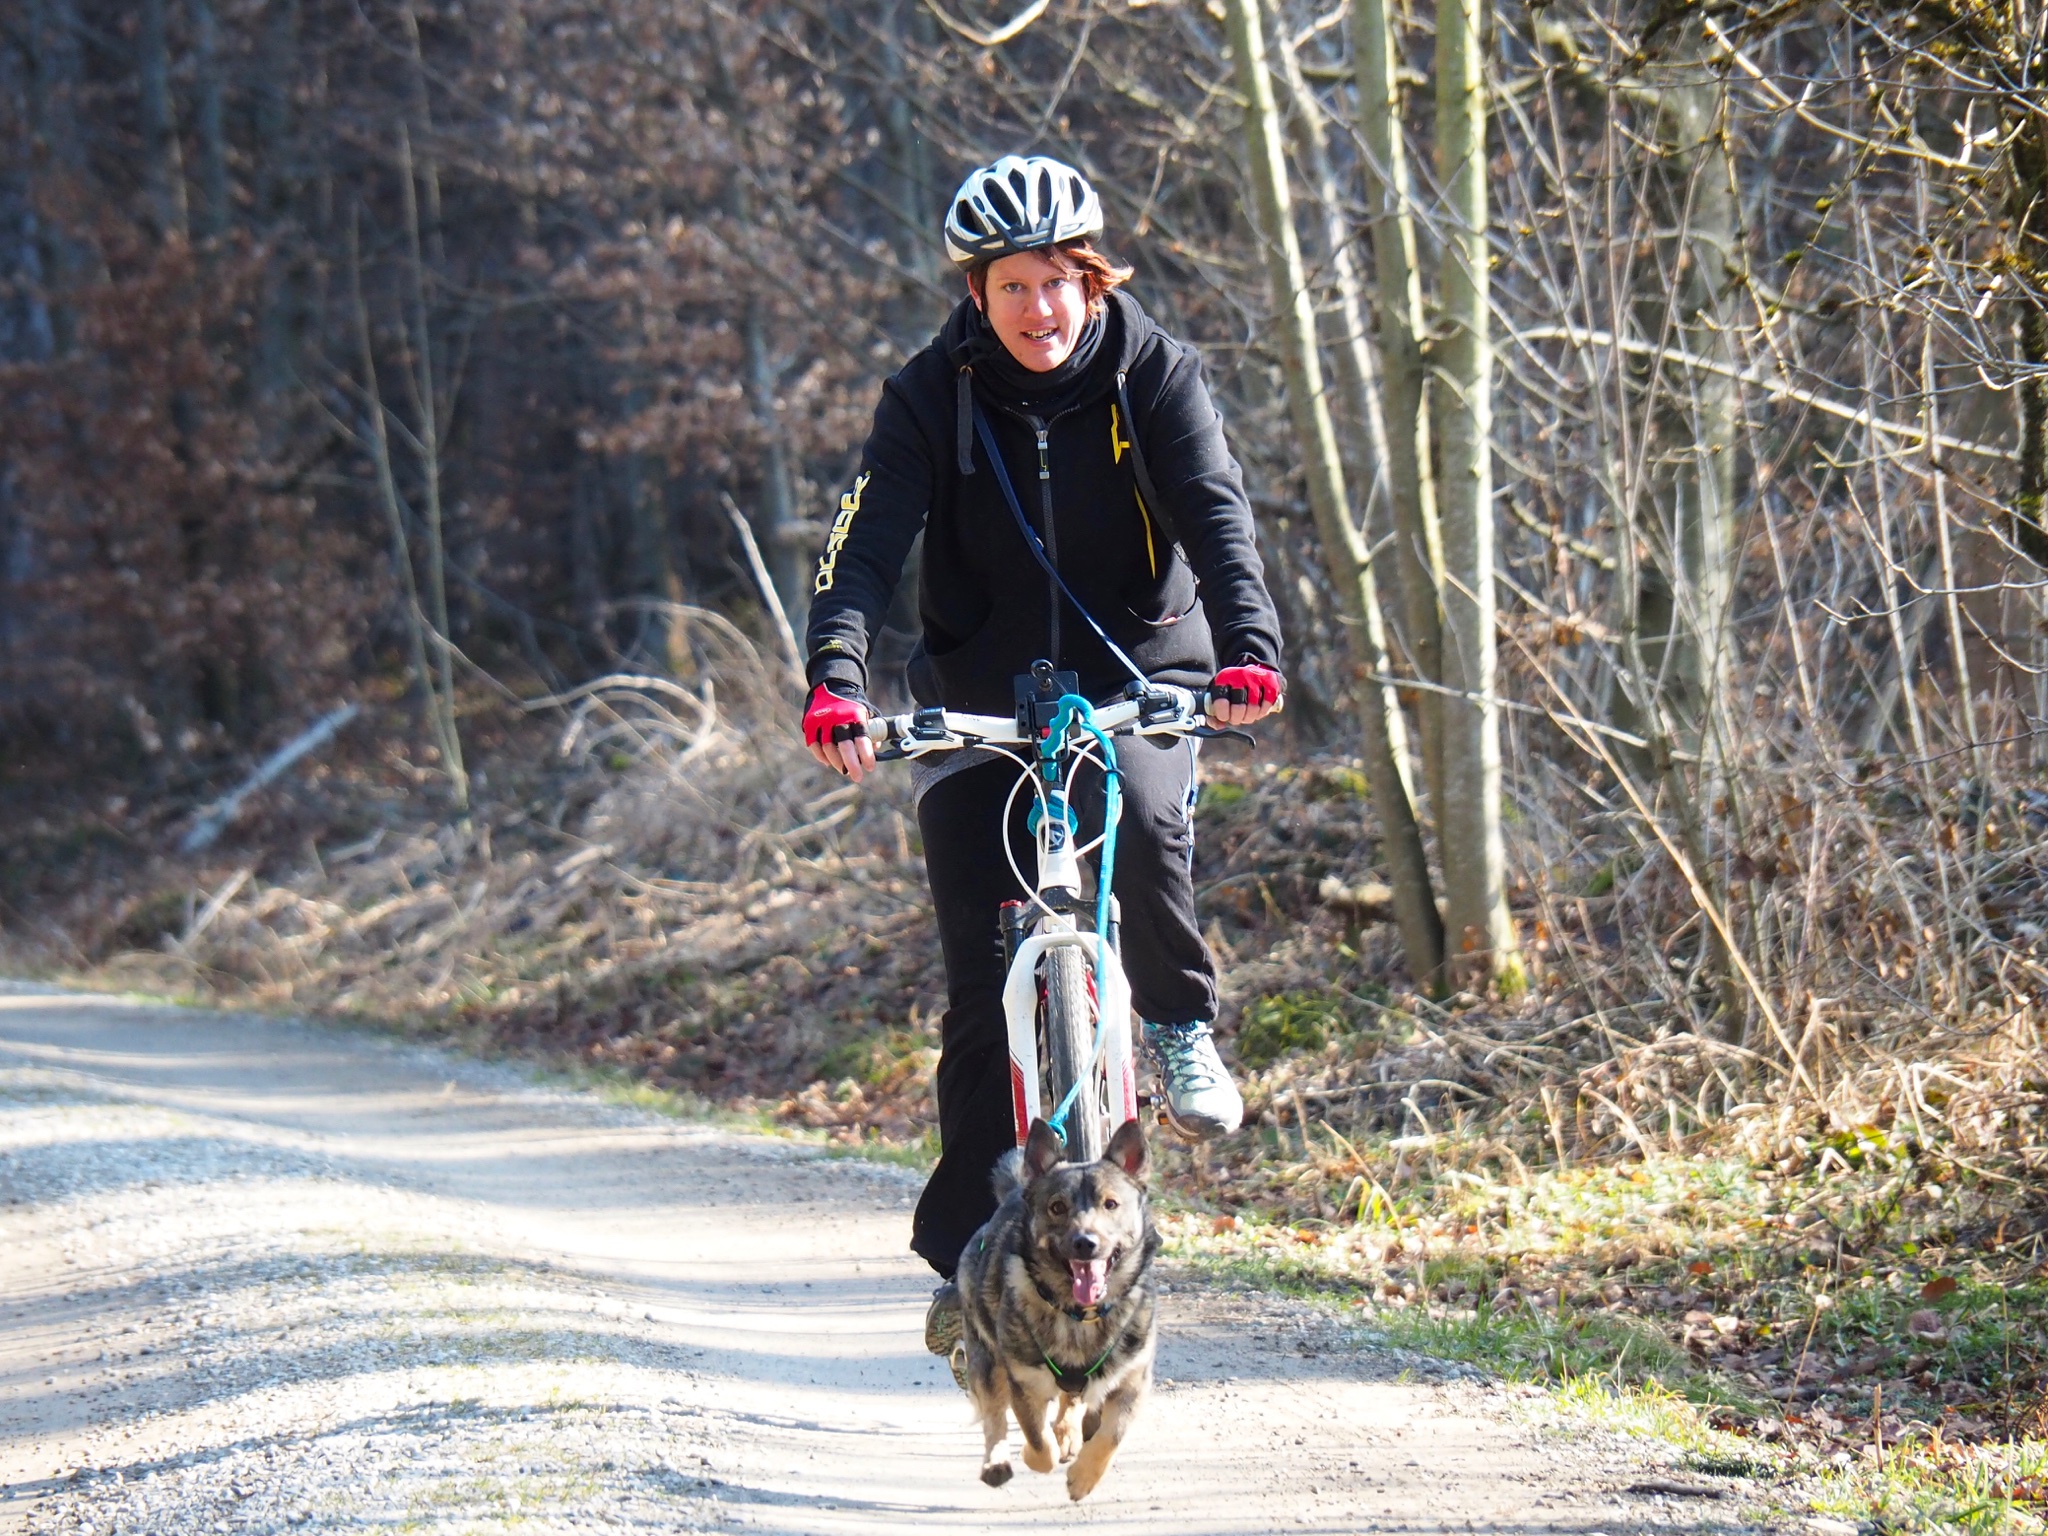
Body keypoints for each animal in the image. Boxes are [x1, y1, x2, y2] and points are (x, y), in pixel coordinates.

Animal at [954, 1116, 1160, 1501]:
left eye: (1111, 1204)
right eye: (1057, 1207)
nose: (1085, 1243)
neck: (1080, 1314)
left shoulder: (1133, 1380)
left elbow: (1111, 1436)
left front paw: (1083, 1477)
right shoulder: (1023, 1382)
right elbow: (1038, 1442)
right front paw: (1034, 1454)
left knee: (1072, 1401)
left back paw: (1068, 1432)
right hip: (985, 1354)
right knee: (993, 1412)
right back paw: (997, 1462)